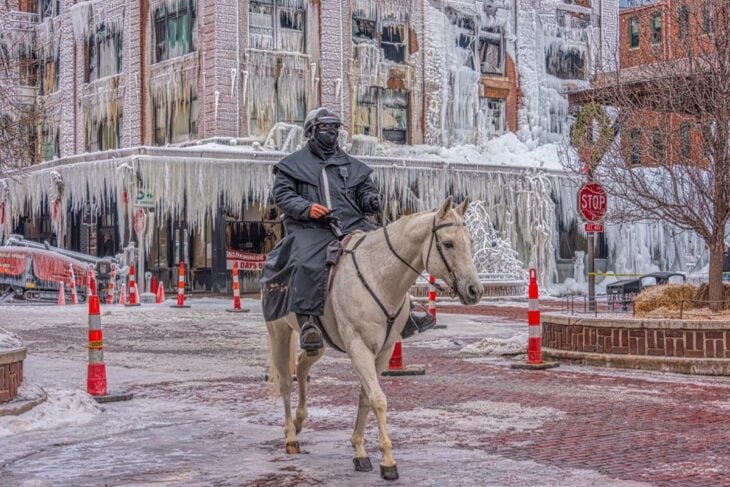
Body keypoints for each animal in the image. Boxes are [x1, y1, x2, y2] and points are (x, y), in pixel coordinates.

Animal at [264, 197, 480, 480]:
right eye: (448, 243)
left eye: (470, 241)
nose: (475, 290)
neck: (379, 277)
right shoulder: (359, 348)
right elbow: (378, 399)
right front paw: (387, 461)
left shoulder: (384, 350)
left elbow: (366, 397)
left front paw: (359, 450)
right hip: (279, 332)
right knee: (285, 383)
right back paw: (290, 436)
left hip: (317, 343)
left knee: (301, 368)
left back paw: (300, 421)